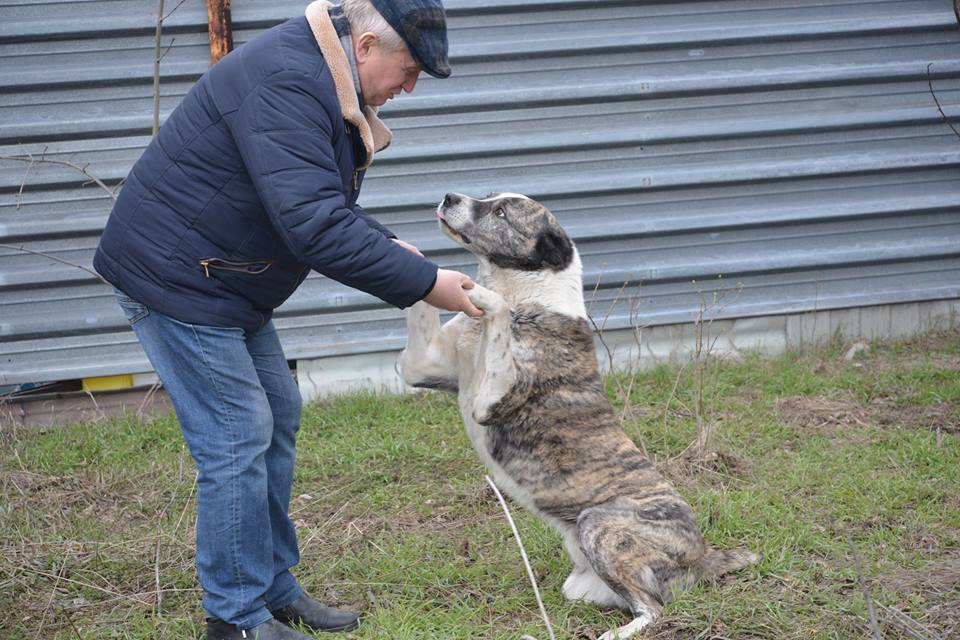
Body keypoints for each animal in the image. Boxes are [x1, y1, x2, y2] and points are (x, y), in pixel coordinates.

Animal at [396, 192, 756, 636]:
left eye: (501, 212)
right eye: (489, 197)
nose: (449, 197)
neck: (526, 288)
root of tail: (703, 553)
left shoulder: (489, 400)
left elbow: (498, 314)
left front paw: (480, 294)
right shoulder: (418, 366)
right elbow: (422, 308)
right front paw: (412, 256)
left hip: (598, 525)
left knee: (653, 609)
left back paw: (617, 633)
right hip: (582, 584)